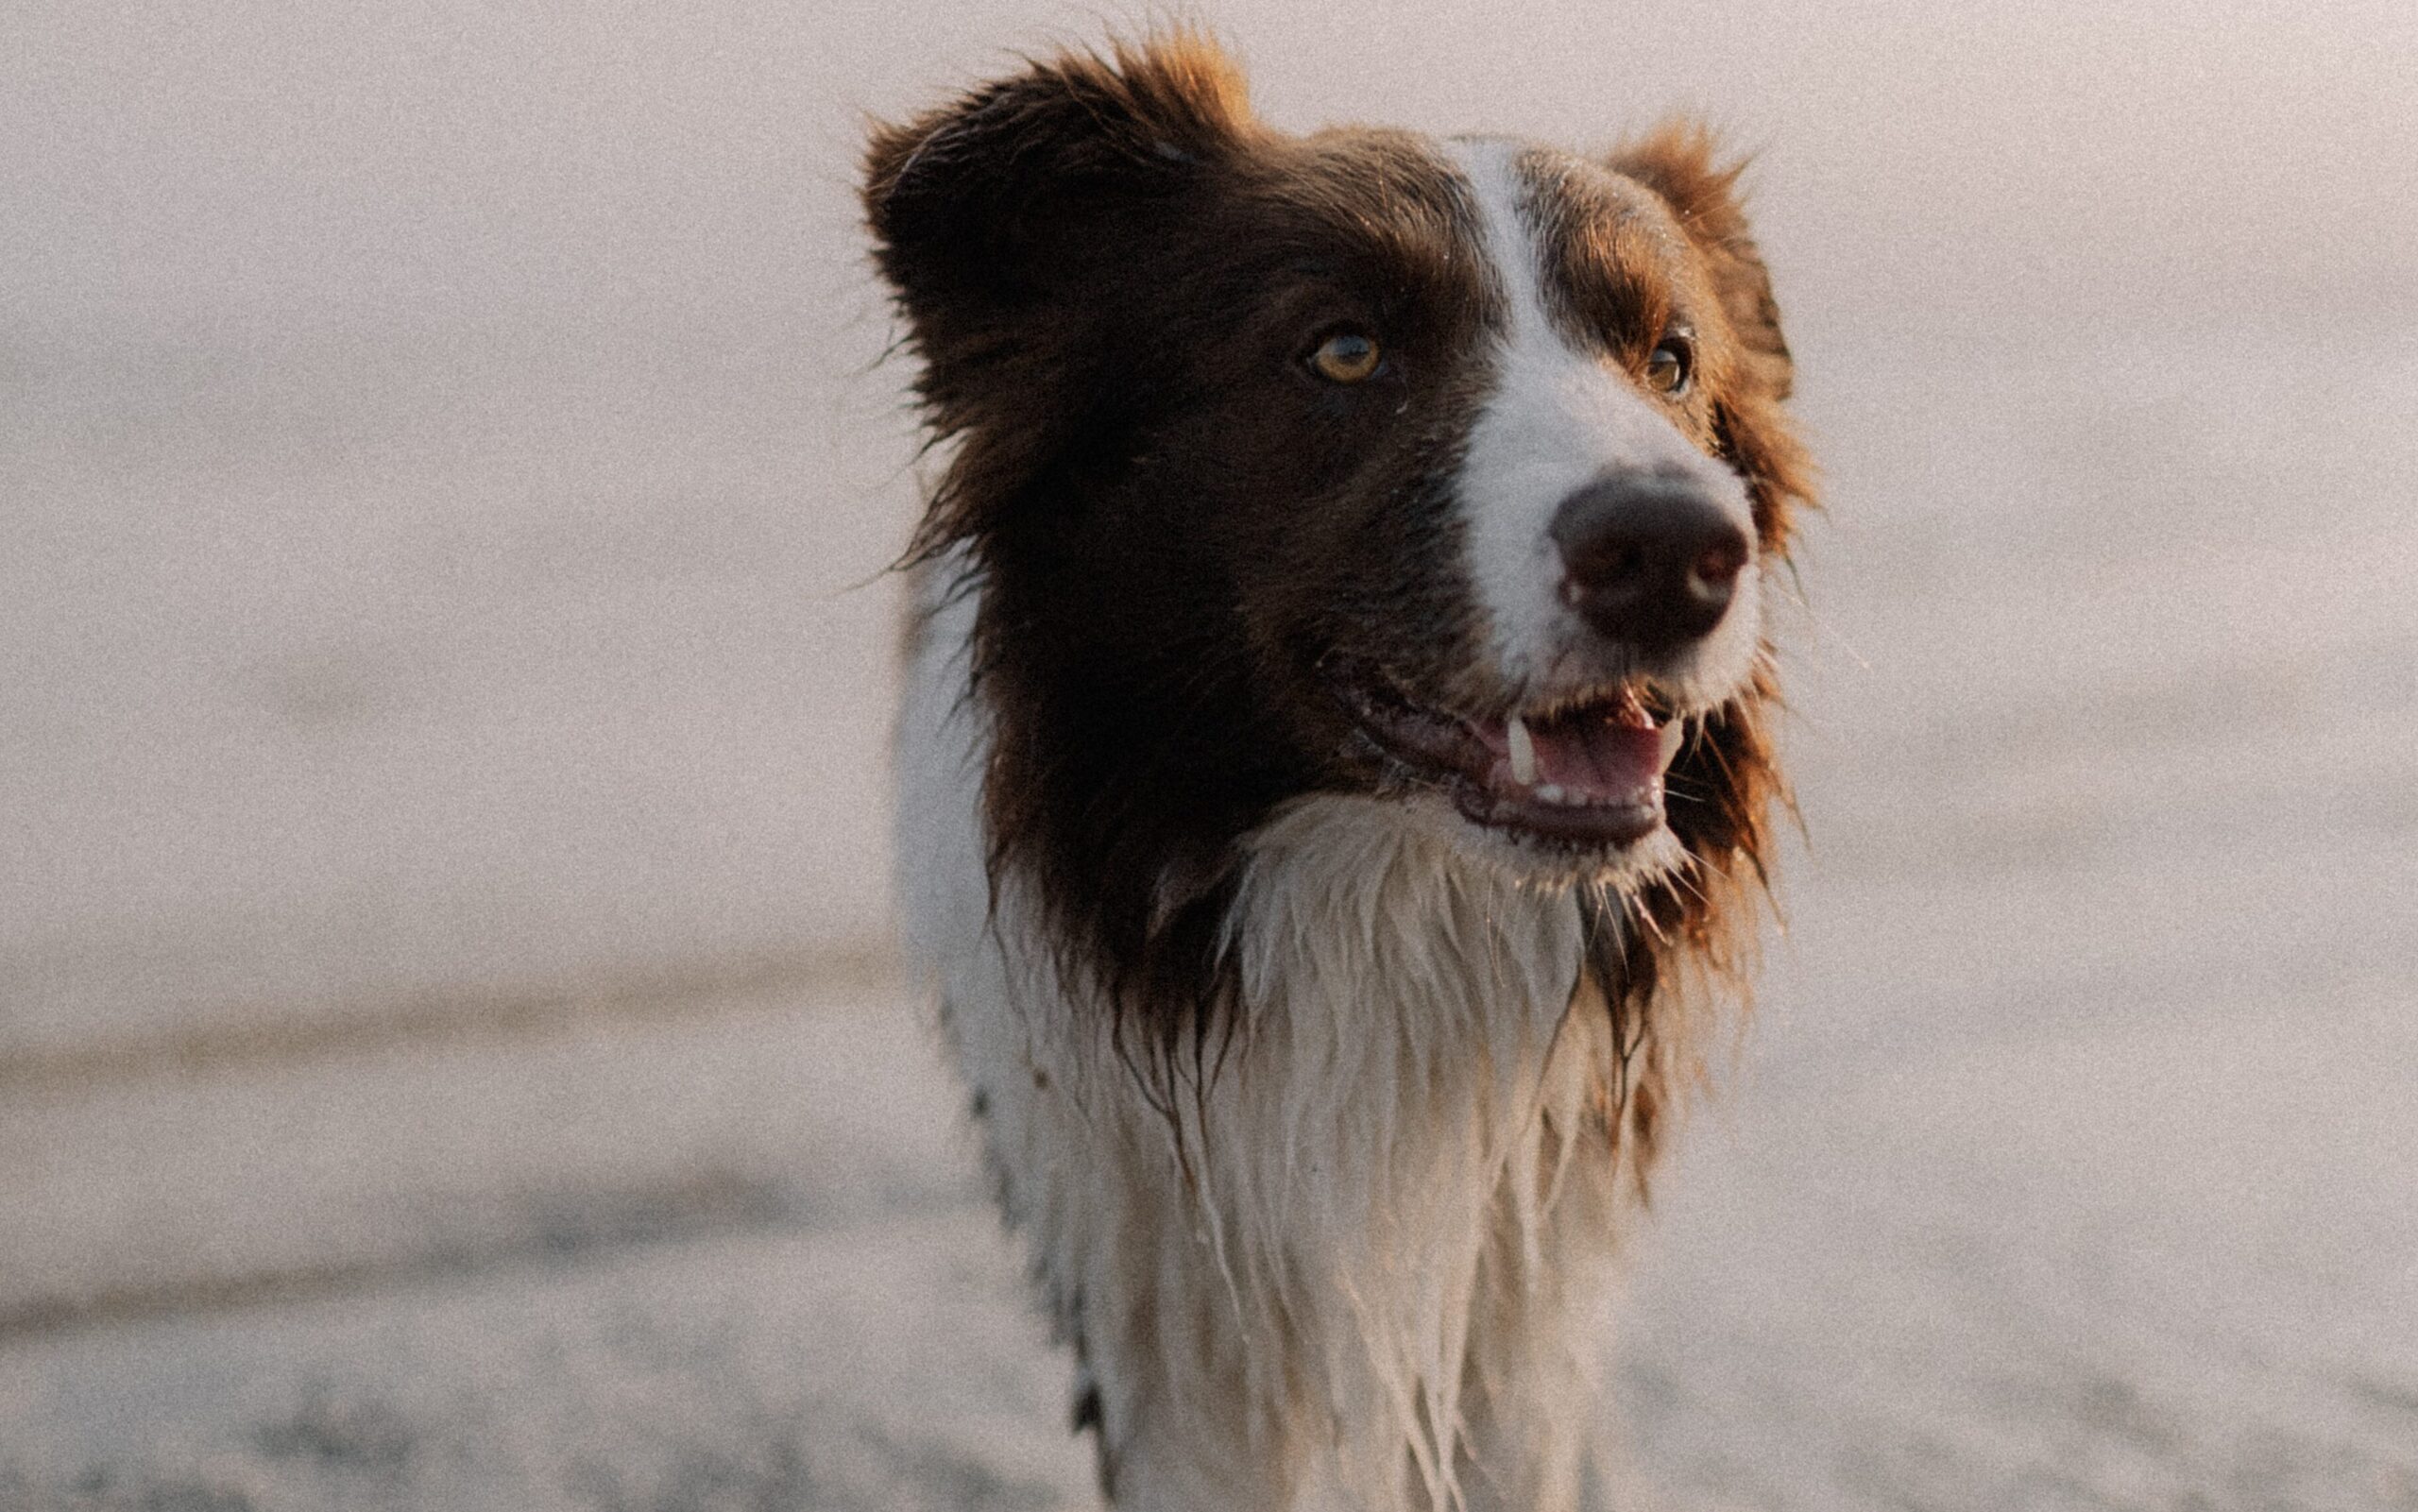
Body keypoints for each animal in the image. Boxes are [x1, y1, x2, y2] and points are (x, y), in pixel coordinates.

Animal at [870, 35, 1818, 1509]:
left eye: (1669, 360)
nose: (1674, 551)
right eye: (1346, 349)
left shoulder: (1528, 1248)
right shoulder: (1160, 1278)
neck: (1383, 898)